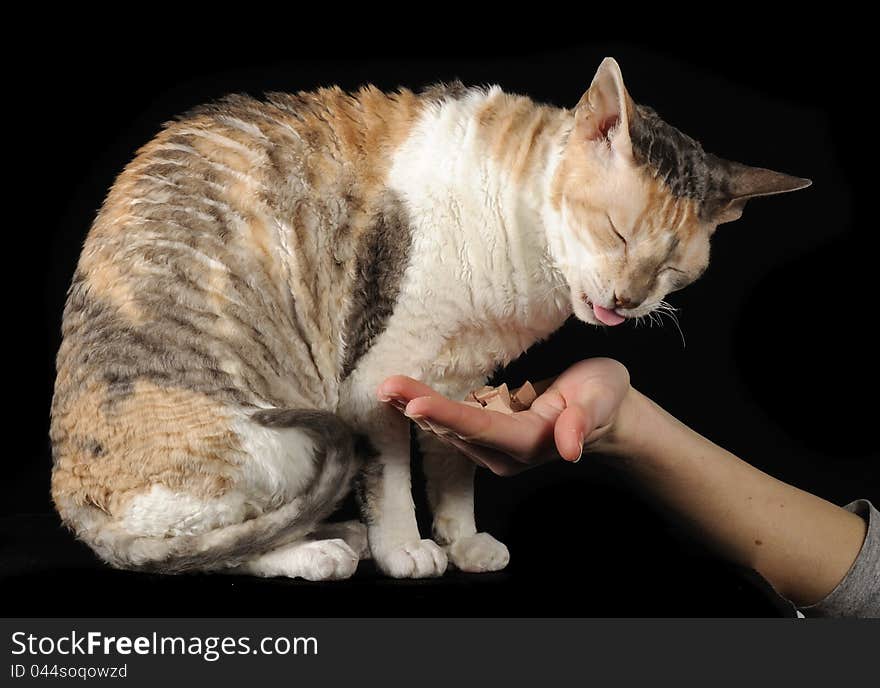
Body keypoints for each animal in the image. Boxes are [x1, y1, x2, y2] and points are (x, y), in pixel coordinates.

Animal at [51, 56, 812, 576]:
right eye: (617, 233)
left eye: (672, 270)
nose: (626, 302)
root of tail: (70, 497)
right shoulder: (374, 384)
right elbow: (389, 479)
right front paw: (406, 549)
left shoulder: (459, 379)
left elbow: (453, 467)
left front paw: (462, 539)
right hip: (270, 438)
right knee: (206, 549)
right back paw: (320, 552)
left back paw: (336, 536)